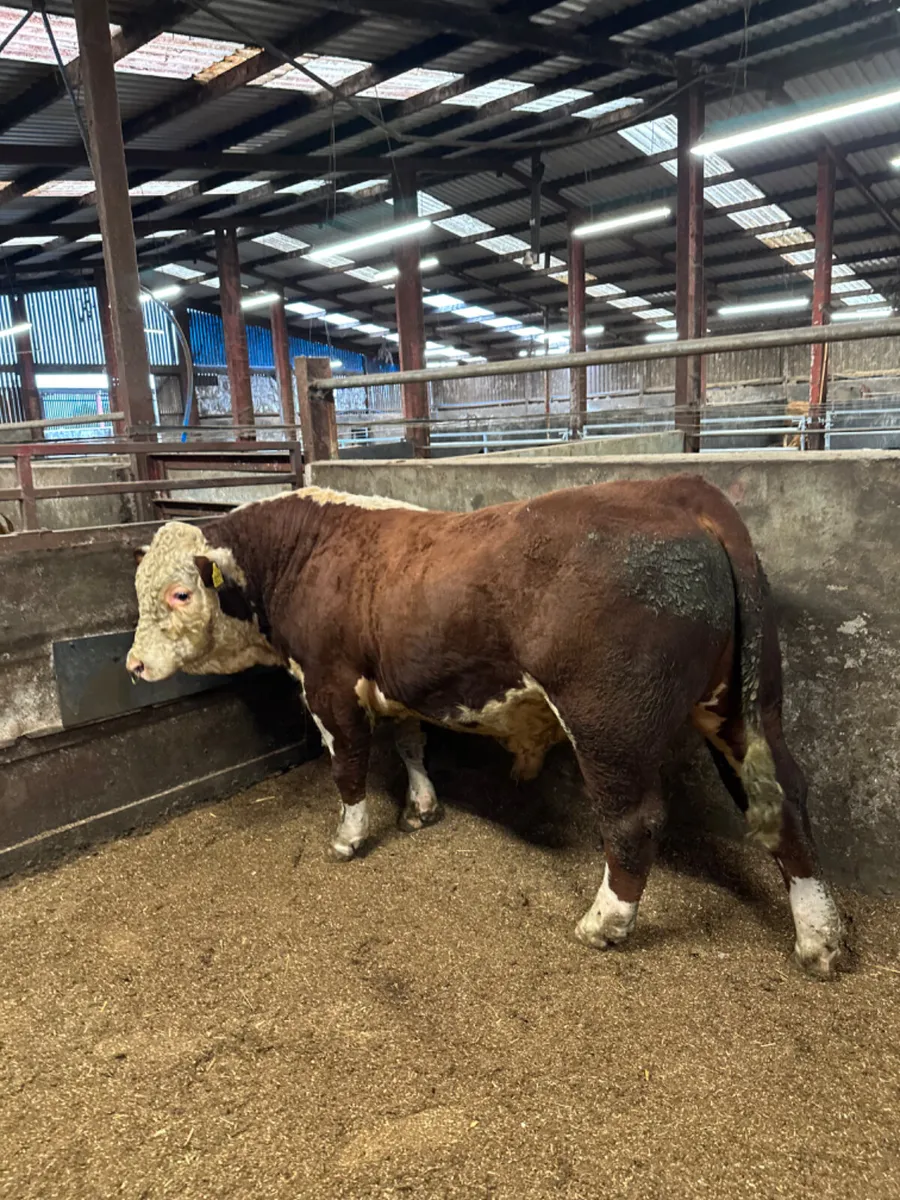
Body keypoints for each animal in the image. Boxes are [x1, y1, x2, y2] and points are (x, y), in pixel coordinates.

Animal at [126, 478, 843, 979]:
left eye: (180, 593)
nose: (133, 665)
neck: (305, 553)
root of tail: (682, 490)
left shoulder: (329, 683)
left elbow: (349, 765)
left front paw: (349, 838)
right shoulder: (398, 684)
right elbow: (411, 743)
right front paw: (420, 808)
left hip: (609, 722)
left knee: (634, 819)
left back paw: (604, 923)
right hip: (746, 706)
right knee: (787, 797)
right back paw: (821, 937)